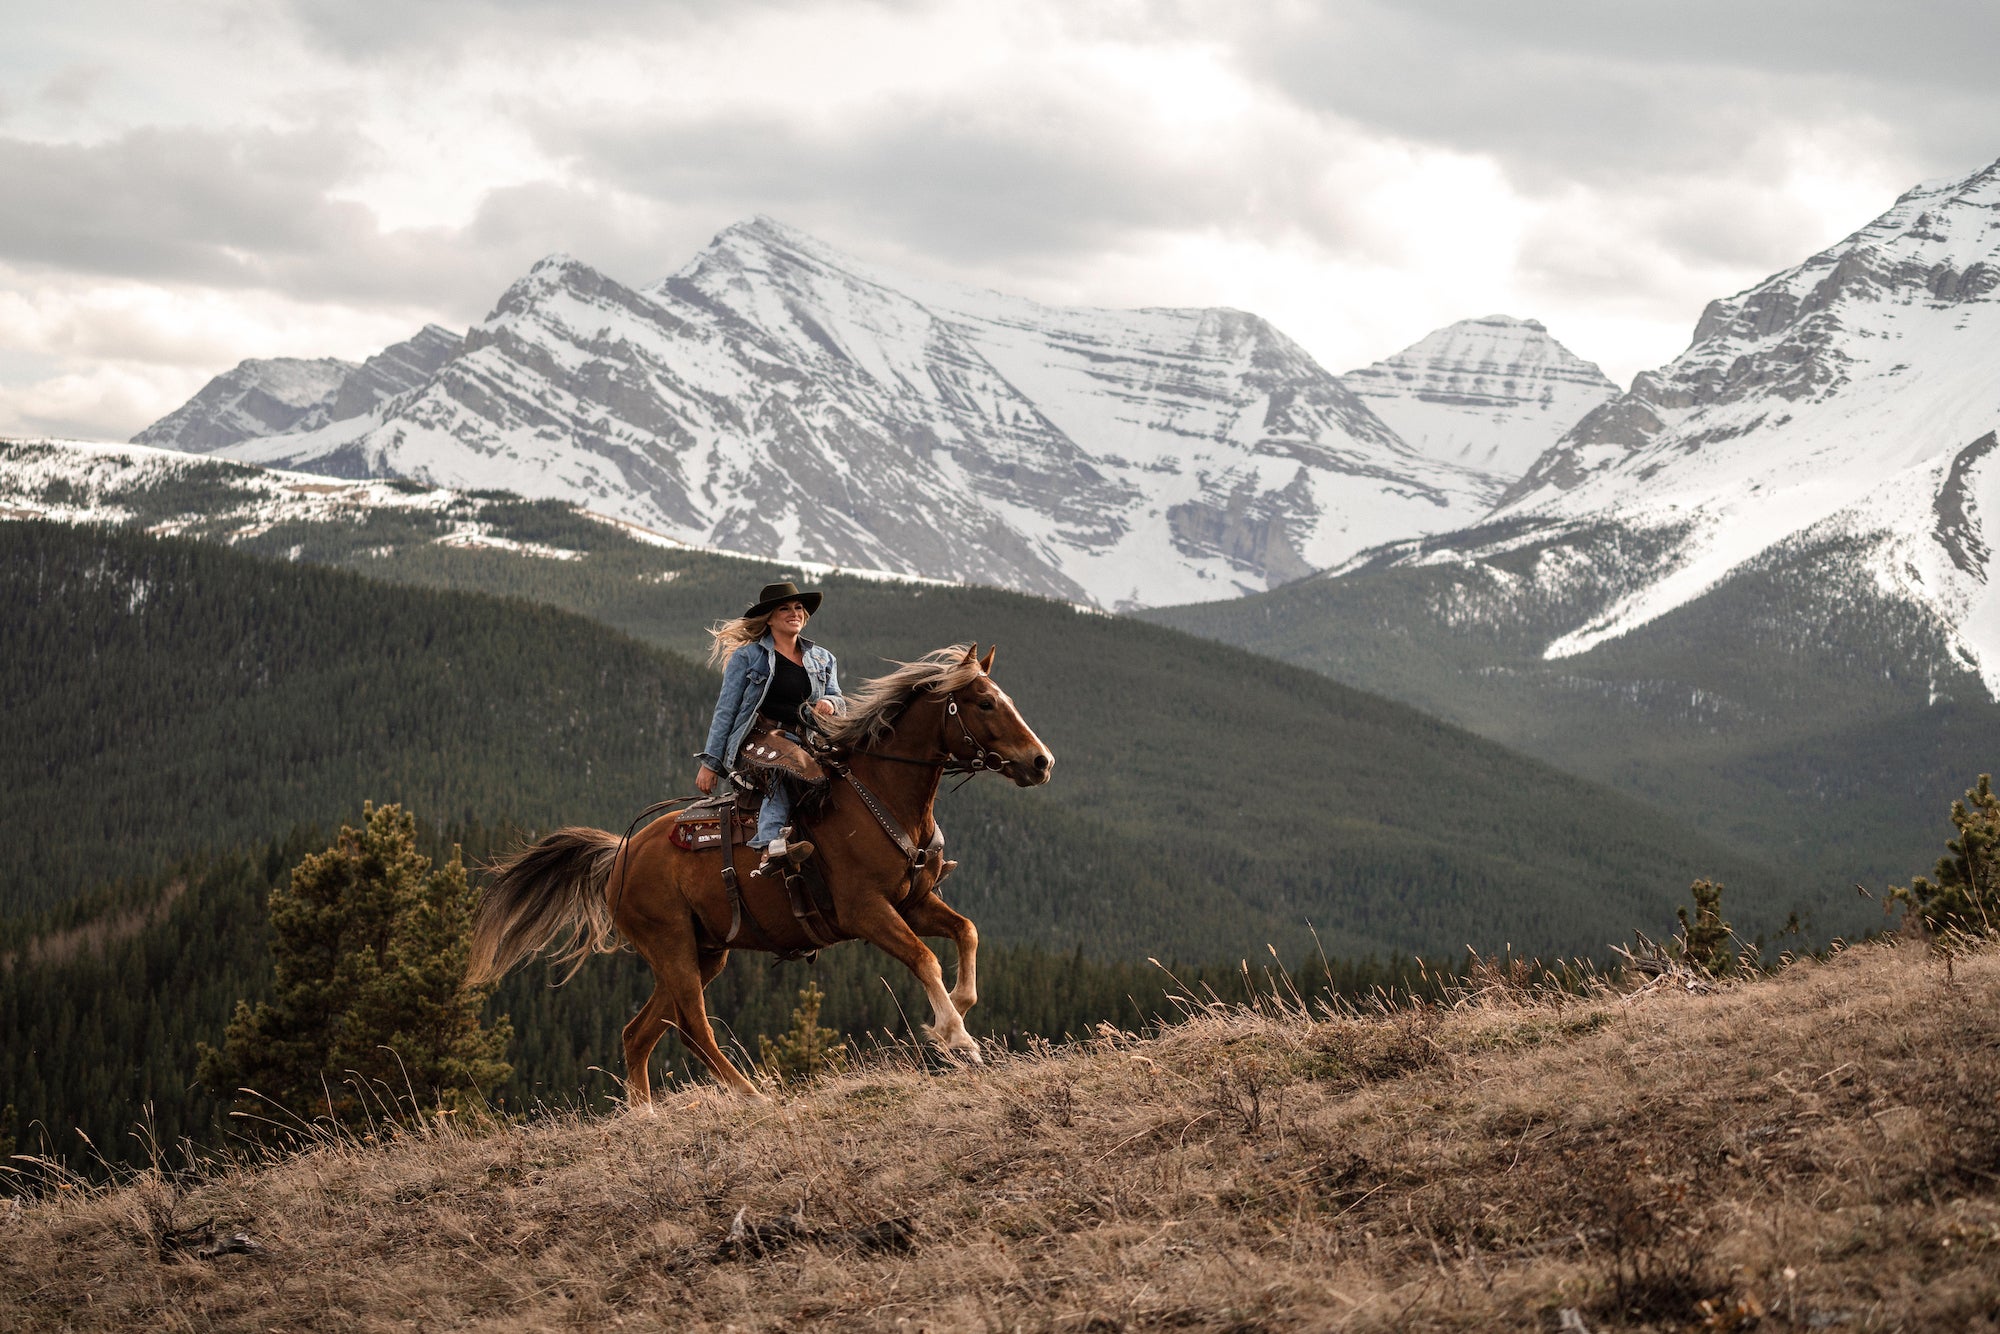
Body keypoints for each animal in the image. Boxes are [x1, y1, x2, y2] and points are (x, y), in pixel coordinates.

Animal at [466, 640, 1056, 1104]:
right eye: (985, 702)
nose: (1041, 762)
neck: (880, 796)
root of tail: (620, 855)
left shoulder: (914, 902)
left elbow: (966, 932)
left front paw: (956, 1010)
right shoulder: (866, 911)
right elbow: (924, 957)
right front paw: (957, 1038)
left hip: (703, 953)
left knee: (641, 1032)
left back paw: (647, 1115)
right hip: (671, 945)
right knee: (693, 1027)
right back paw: (751, 1093)